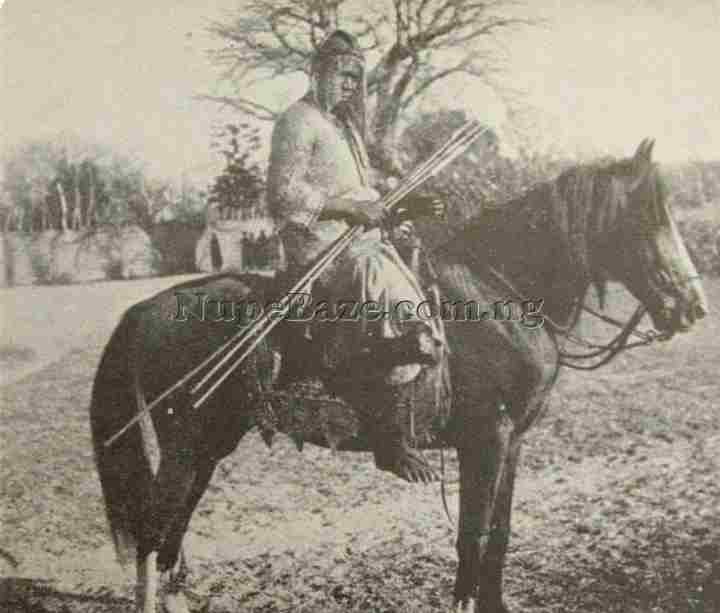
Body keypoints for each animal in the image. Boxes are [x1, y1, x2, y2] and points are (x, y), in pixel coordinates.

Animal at [90, 140, 708, 612]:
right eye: (651, 216)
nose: (694, 307)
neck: (500, 293)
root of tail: (145, 308)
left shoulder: (511, 444)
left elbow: (499, 535)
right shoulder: (485, 441)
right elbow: (472, 536)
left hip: (210, 443)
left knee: (171, 534)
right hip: (183, 444)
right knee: (153, 531)